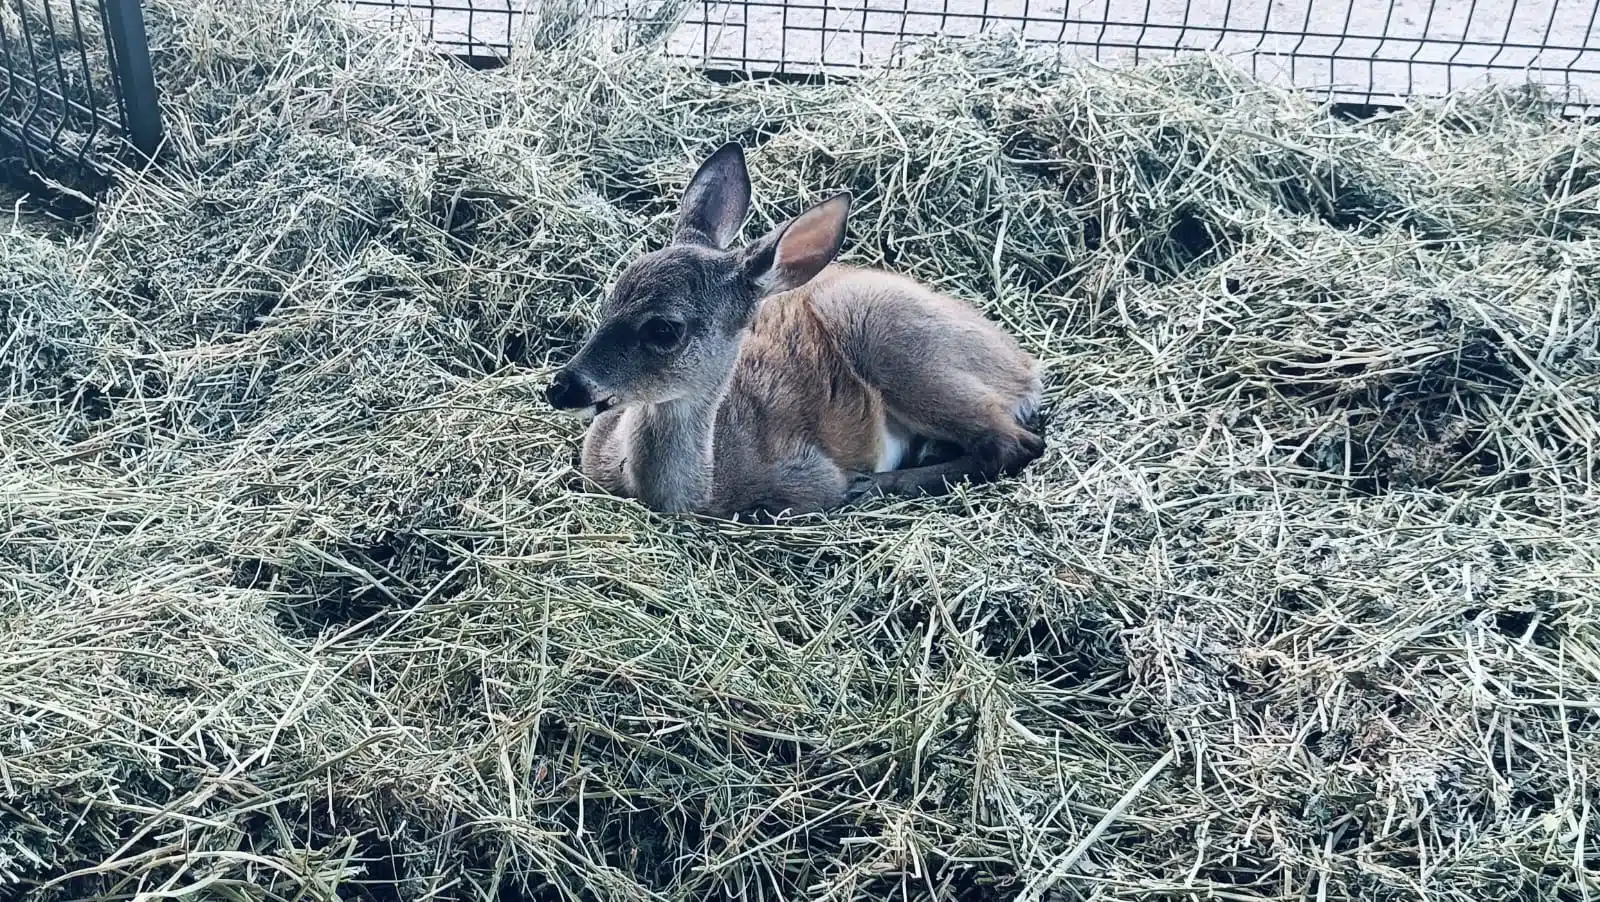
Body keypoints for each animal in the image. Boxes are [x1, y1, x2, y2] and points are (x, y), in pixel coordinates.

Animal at [547, 140, 1049, 521]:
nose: (561, 386)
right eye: (610, 297)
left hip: (896, 347)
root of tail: (1027, 367)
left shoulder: (808, 478)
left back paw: (874, 483)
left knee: (1015, 443)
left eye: (665, 330)